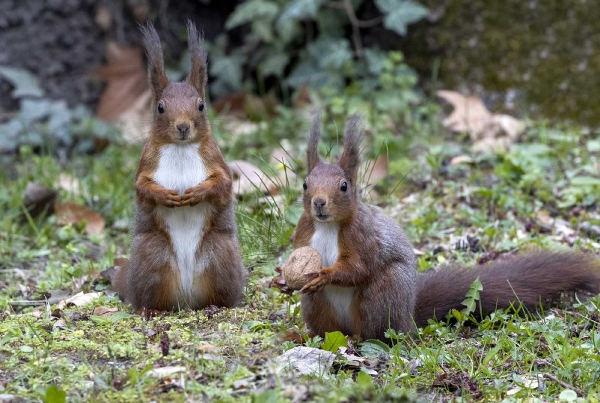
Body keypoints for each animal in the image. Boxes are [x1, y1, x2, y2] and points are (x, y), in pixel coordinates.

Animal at [112, 21, 246, 312]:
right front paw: (165, 195)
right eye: (160, 107)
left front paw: (197, 192)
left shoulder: (216, 160)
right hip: (153, 255)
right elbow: (142, 188)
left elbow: (223, 184)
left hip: (219, 254)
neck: (182, 148)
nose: (183, 127)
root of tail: (186, 298)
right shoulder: (146, 164)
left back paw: (215, 306)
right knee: (150, 297)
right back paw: (151, 310)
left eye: (201, 105)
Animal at [294, 114, 600, 340]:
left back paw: (360, 338)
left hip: (384, 295)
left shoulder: (363, 237)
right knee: (326, 329)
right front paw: (285, 279)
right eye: (305, 184)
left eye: (344, 186)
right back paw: (306, 336)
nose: (319, 203)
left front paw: (324, 273)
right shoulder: (303, 234)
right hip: (316, 306)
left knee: (374, 331)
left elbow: (358, 269)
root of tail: (408, 317)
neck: (328, 226)